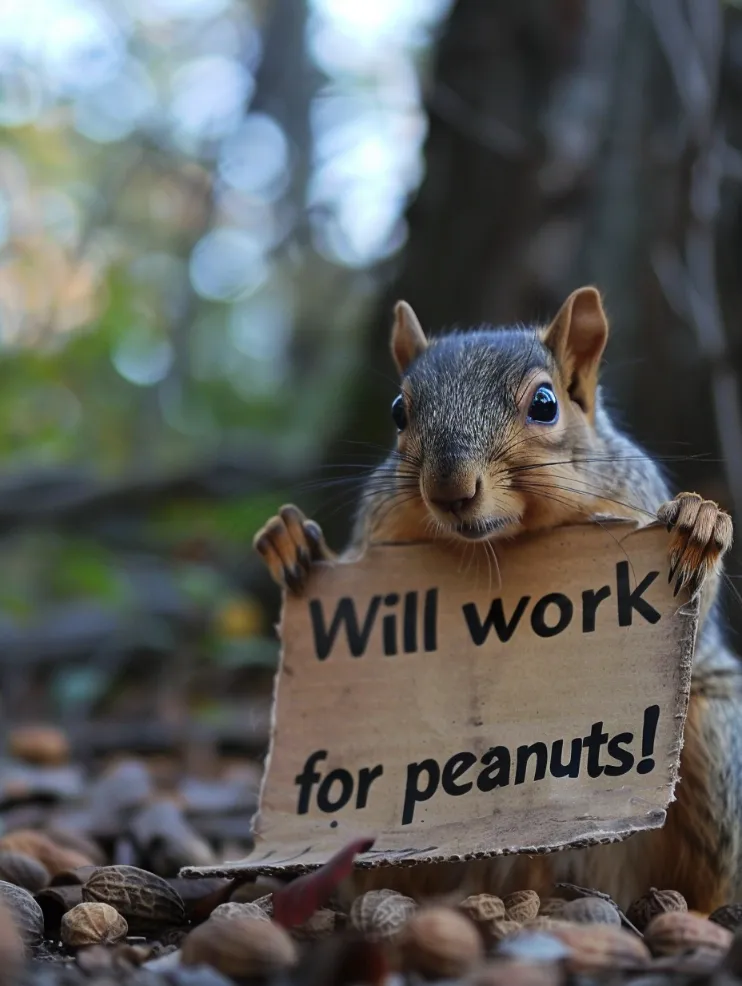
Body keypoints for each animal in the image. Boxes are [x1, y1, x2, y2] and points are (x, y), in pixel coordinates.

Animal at [254, 288, 742, 912]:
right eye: (398, 411)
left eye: (545, 404)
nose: (450, 489)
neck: (500, 542)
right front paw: (292, 538)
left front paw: (699, 520)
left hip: (712, 747)